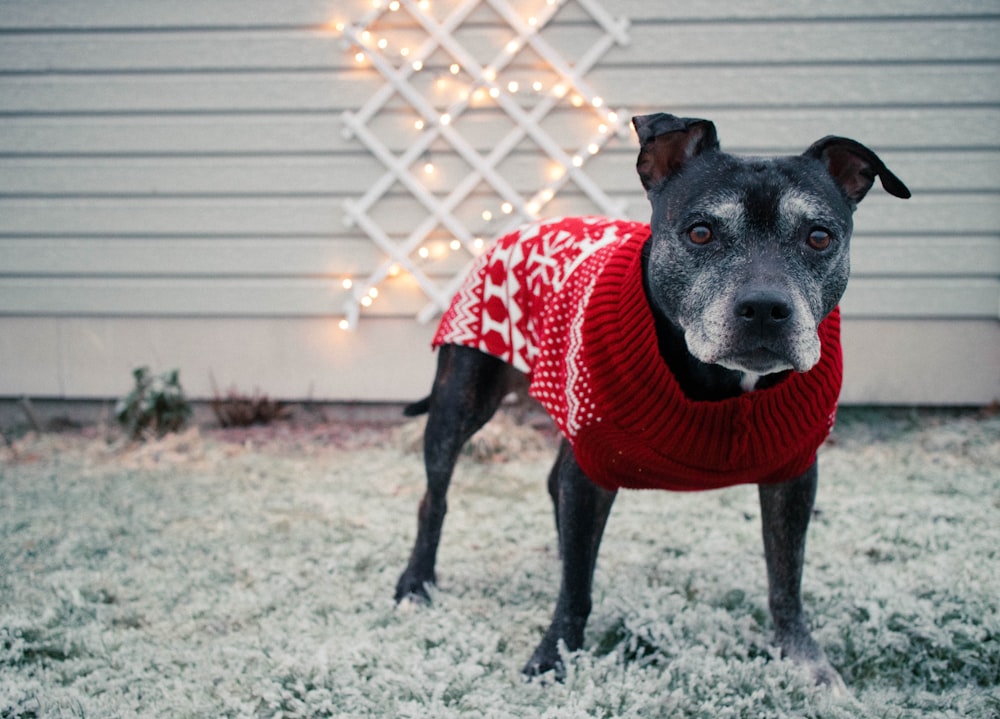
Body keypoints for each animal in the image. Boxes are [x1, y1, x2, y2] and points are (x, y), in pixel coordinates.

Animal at [394, 114, 912, 692]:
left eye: (819, 237)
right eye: (701, 232)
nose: (764, 308)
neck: (719, 382)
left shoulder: (794, 476)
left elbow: (786, 578)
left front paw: (804, 661)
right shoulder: (589, 466)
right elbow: (576, 588)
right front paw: (554, 656)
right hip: (461, 401)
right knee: (435, 496)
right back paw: (417, 583)